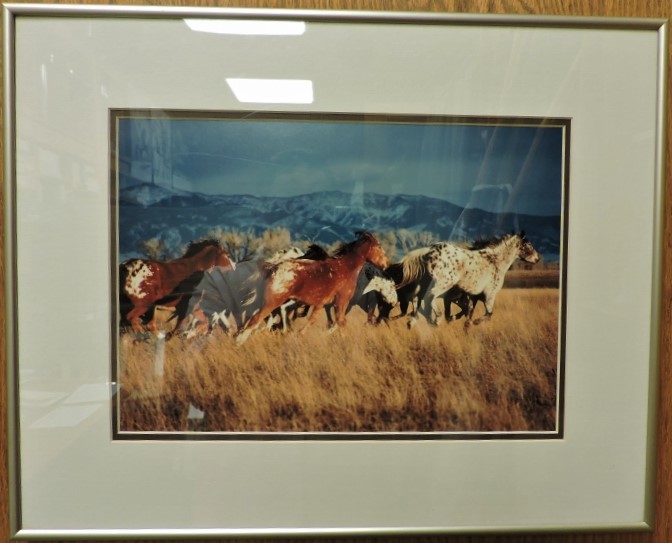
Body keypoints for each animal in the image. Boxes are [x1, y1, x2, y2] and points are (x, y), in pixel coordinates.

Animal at [236, 231, 392, 342]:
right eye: (379, 247)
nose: (386, 264)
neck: (346, 268)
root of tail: (273, 268)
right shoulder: (341, 302)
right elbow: (340, 322)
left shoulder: (322, 304)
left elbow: (314, 320)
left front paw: (299, 334)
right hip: (272, 302)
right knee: (254, 321)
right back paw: (240, 342)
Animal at [396, 233, 540, 328]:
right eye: (528, 245)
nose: (537, 259)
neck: (495, 262)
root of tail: (429, 251)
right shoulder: (489, 295)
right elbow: (489, 314)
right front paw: (475, 322)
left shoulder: (472, 297)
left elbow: (467, 315)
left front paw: (465, 322)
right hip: (444, 283)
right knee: (429, 297)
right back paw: (436, 319)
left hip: (426, 285)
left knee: (417, 300)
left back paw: (414, 321)